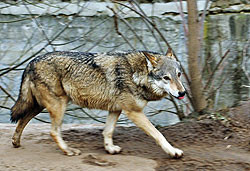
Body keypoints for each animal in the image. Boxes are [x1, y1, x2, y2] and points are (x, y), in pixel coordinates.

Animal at [10, 48, 186, 158]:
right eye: (166, 78)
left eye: (178, 74)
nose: (182, 93)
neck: (136, 75)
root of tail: (31, 61)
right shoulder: (134, 112)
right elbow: (158, 134)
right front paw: (173, 152)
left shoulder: (115, 109)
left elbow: (107, 131)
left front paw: (109, 148)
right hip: (58, 106)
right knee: (53, 131)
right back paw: (68, 150)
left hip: (40, 106)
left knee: (22, 120)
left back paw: (16, 142)